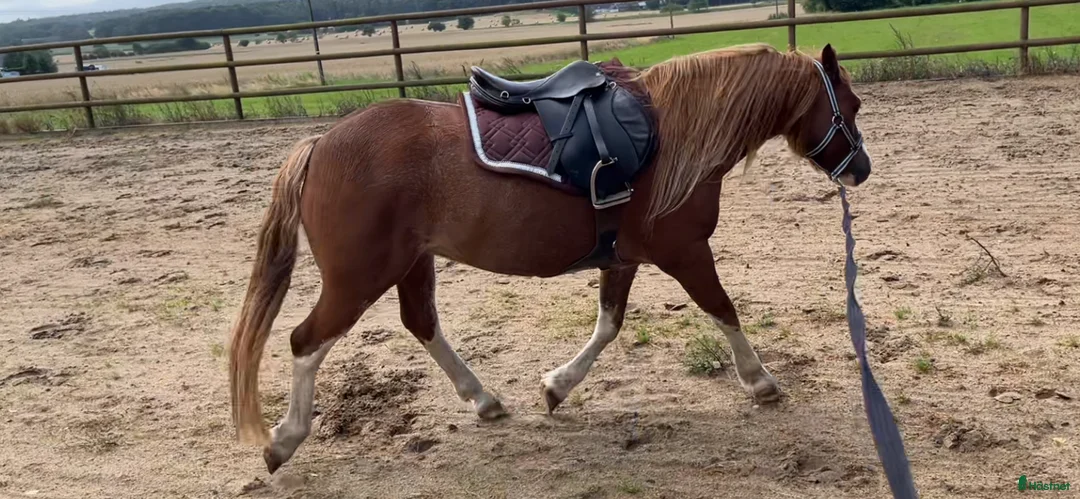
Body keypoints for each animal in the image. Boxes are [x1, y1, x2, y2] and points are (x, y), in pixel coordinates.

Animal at [228, 42, 872, 473]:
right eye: (854, 104)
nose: (861, 170)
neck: (674, 132)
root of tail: (322, 145)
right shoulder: (685, 252)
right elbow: (724, 310)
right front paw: (761, 382)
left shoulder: (624, 258)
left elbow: (609, 325)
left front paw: (557, 388)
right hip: (359, 275)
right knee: (307, 341)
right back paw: (284, 440)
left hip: (410, 264)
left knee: (421, 323)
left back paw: (485, 400)